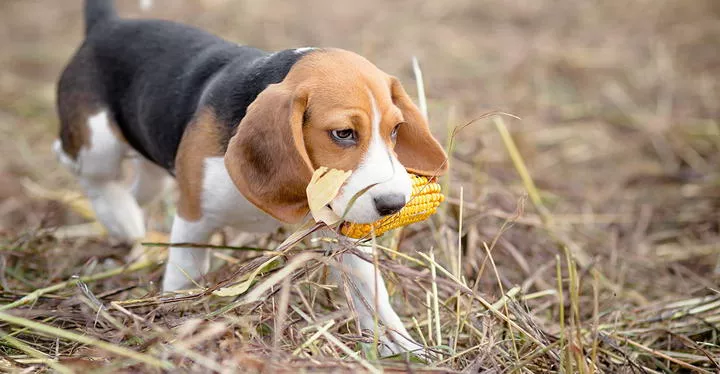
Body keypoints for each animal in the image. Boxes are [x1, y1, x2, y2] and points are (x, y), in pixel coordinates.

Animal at [56, 0, 448, 356]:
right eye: (343, 134)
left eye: (395, 130)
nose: (394, 204)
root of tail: (108, 24)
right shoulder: (194, 220)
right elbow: (183, 273)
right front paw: (172, 323)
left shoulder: (339, 232)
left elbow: (371, 290)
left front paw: (405, 347)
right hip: (98, 146)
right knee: (79, 164)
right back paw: (117, 214)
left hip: (153, 171)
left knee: (136, 190)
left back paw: (127, 223)